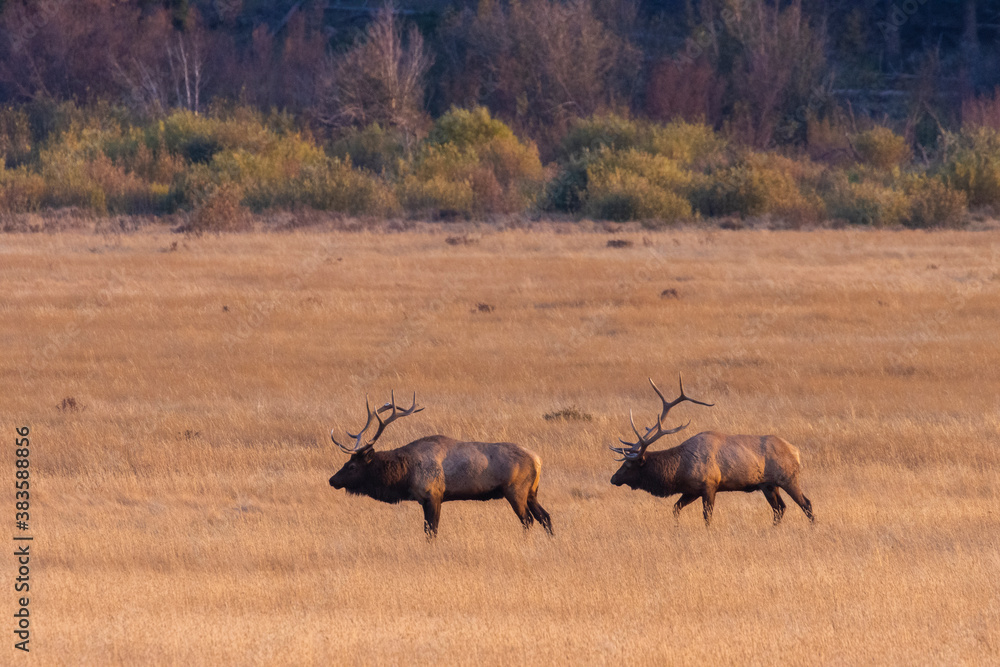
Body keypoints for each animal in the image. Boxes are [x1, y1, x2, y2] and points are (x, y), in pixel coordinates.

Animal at [328, 392, 553, 539]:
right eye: (346, 462)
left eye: (352, 466)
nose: (332, 480)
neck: (405, 473)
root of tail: (538, 460)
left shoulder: (433, 496)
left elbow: (431, 532)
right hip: (532, 492)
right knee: (545, 517)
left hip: (515, 491)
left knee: (528, 520)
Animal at [609, 377, 815, 526]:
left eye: (629, 464)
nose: (613, 478)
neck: (679, 469)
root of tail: (796, 451)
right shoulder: (691, 490)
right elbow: (675, 509)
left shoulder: (709, 486)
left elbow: (707, 517)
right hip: (768, 485)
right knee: (780, 508)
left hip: (788, 478)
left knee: (806, 504)